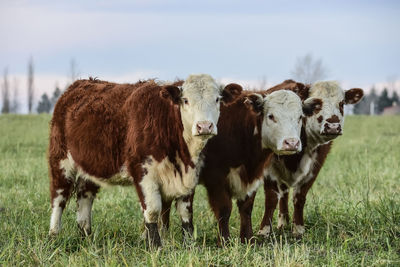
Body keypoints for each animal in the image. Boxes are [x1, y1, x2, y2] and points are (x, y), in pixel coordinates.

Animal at [47, 74, 241, 248]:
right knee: (59, 197)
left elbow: (186, 212)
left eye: (217, 99)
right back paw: (54, 235)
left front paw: (189, 245)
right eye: (185, 100)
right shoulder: (143, 172)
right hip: (60, 160)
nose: (204, 126)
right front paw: (155, 246)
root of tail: (79, 85)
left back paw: (86, 236)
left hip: (90, 166)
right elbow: (153, 211)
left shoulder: (189, 174)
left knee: (84, 197)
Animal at [159, 89, 322, 246]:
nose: (292, 143)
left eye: (300, 117)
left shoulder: (253, 176)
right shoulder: (216, 178)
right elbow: (224, 209)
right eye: (271, 116)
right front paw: (224, 241)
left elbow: (246, 207)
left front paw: (247, 238)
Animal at [258, 79, 364, 237]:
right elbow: (271, 198)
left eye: (342, 103)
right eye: (317, 104)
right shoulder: (269, 168)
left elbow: (299, 197)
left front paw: (298, 229)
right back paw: (282, 223)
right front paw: (264, 231)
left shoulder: (314, 167)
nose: (333, 126)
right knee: (282, 194)